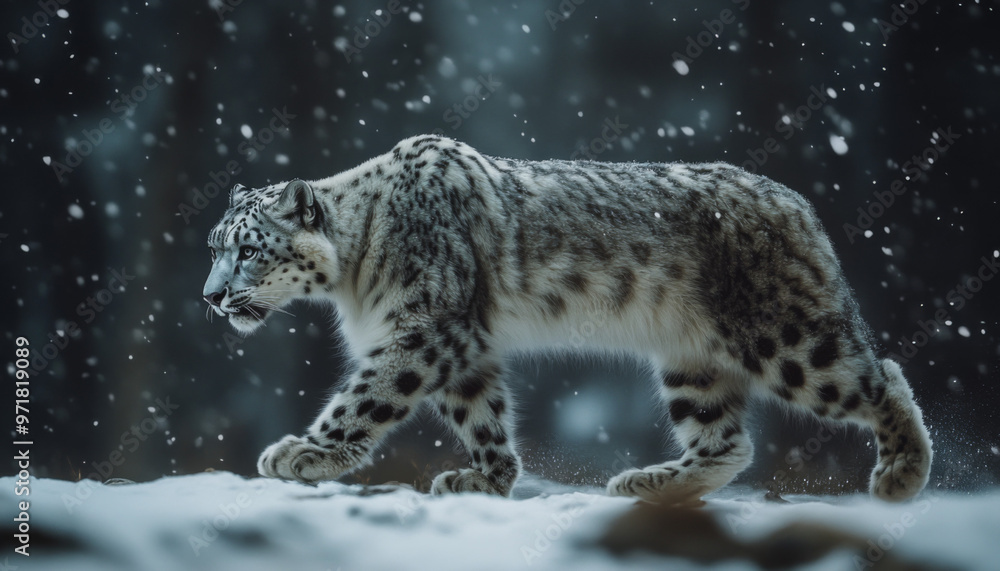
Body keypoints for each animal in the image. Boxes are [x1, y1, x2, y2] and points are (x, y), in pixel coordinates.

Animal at [202, 134, 932, 503]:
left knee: (884, 378)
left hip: (789, 340)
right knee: (728, 441)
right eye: (212, 248)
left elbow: (364, 397)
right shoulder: (464, 348)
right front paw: (486, 476)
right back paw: (651, 482)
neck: (352, 278)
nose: (210, 296)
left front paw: (306, 452)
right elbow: (482, 412)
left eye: (248, 249)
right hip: (691, 362)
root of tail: (799, 203)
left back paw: (902, 474)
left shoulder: (424, 331)